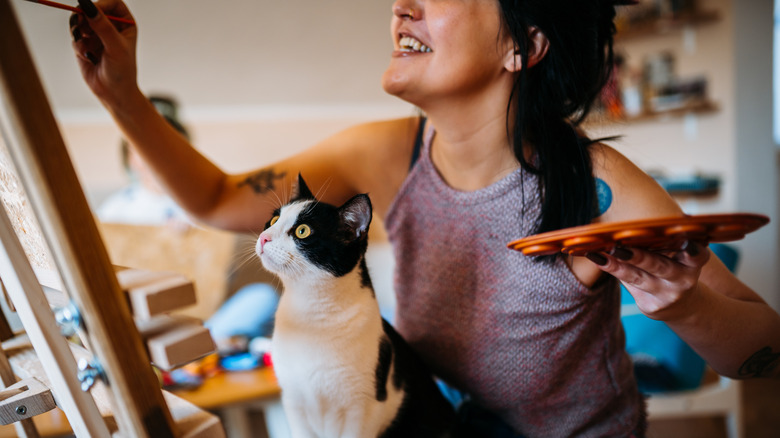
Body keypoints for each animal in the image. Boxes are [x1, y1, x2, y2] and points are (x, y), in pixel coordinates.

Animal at [256, 175, 454, 438]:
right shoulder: (294, 402)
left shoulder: (362, 408)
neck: (312, 313)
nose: (263, 237)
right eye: (273, 220)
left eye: (302, 231)